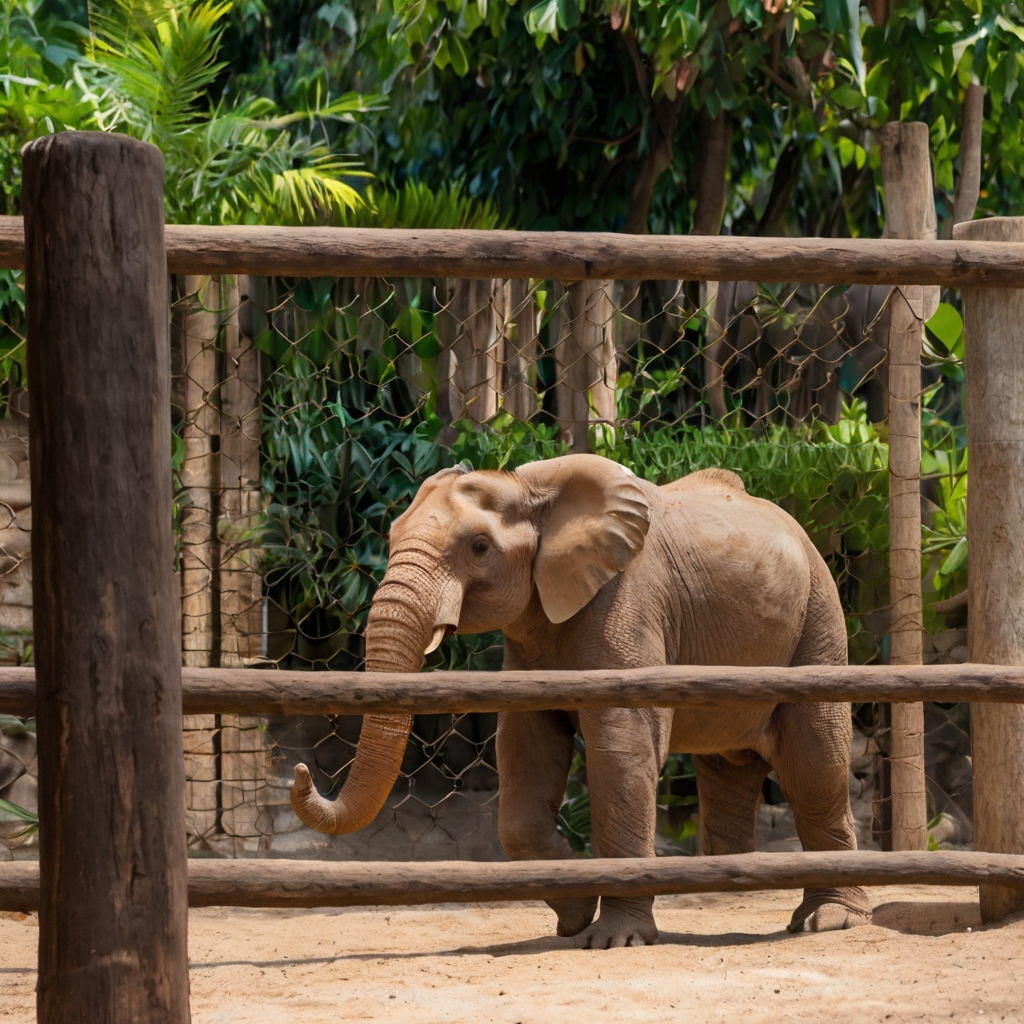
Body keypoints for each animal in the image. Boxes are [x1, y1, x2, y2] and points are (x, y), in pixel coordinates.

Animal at [290, 452, 872, 946]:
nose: (301, 771)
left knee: (814, 762)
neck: (527, 486)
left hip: (819, 618)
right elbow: (525, 748)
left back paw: (827, 919)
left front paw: (613, 938)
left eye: (478, 547)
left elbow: (623, 748)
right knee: (729, 767)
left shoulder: (626, 602)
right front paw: (573, 918)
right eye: (389, 537)